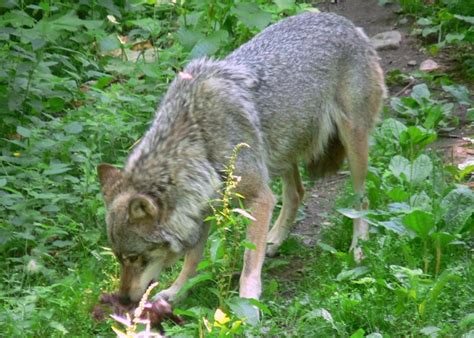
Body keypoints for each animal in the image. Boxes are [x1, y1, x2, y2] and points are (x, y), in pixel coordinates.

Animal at [95, 11, 386, 304]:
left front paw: (247, 304)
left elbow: (248, 264)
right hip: (278, 151)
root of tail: (346, 23)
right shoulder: (203, 208)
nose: (122, 299)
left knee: (361, 200)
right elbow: (192, 260)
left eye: (135, 257)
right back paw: (274, 240)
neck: (198, 139)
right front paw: (176, 293)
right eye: (119, 258)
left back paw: (358, 249)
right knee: (297, 193)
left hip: (352, 142)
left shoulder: (259, 199)